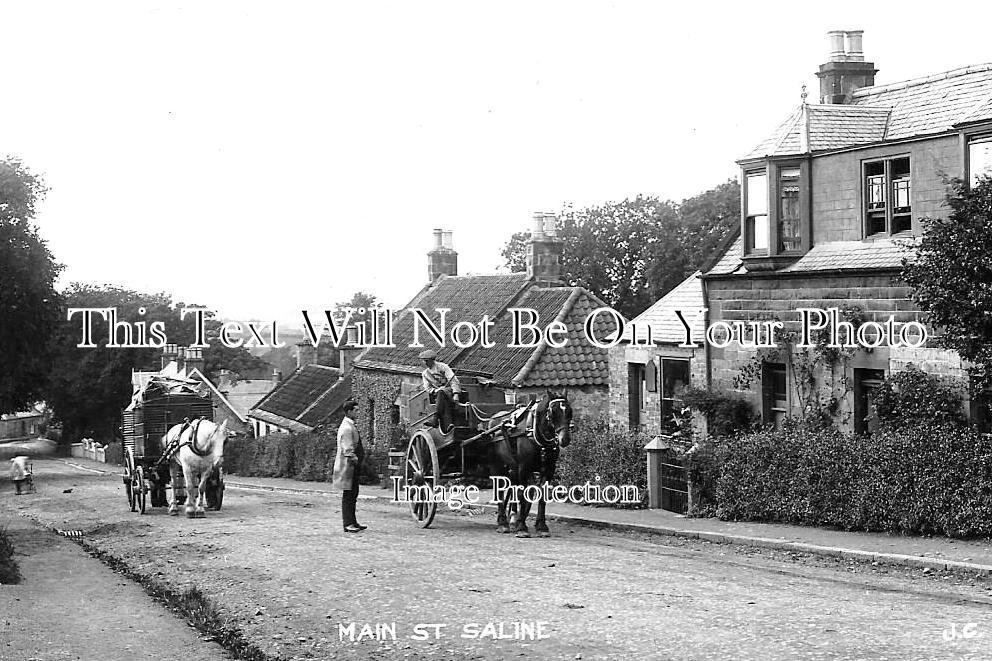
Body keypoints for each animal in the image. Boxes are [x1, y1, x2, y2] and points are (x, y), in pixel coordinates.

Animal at [486, 392, 572, 536]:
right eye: (553, 412)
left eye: (569, 411)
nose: (564, 439)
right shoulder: (523, 467)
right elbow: (522, 494)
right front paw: (521, 527)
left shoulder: (549, 469)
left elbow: (540, 494)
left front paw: (541, 526)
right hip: (496, 465)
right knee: (499, 489)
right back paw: (503, 522)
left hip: (512, 467)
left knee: (513, 487)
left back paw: (512, 519)